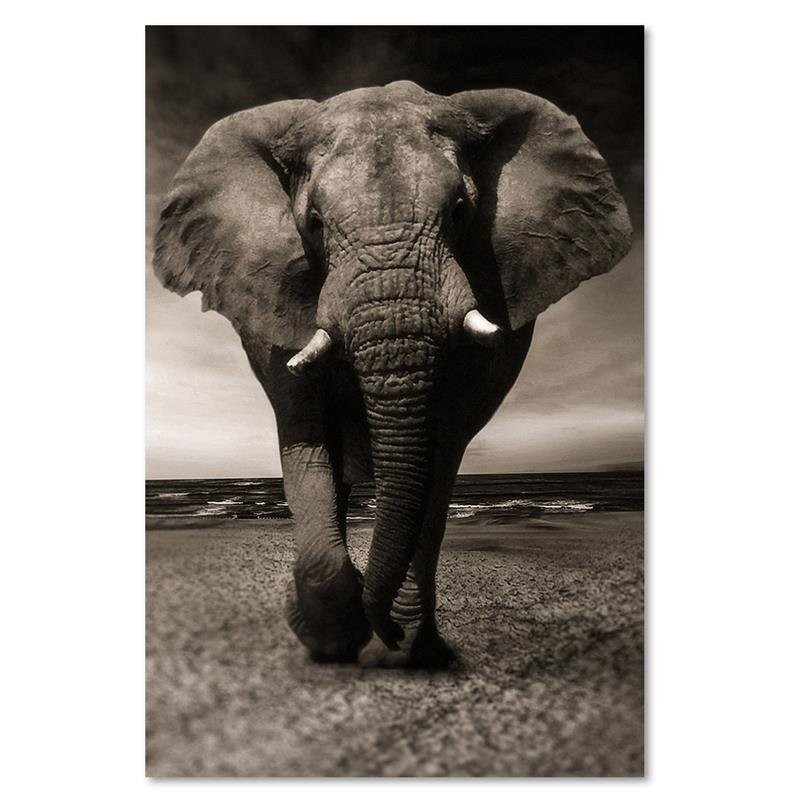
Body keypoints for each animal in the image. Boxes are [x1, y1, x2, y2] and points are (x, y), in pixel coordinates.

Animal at [153, 80, 632, 668]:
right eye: (313, 223)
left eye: (460, 211)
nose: (386, 629)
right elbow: (305, 435)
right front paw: (332, 638)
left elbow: (440, 450)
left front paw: (402, 645)